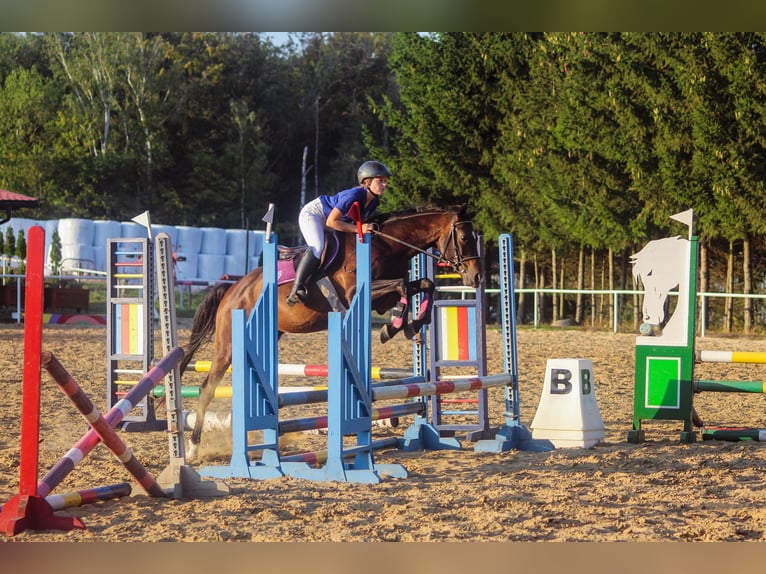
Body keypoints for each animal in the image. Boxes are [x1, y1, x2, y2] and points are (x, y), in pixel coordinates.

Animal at [178, 205, 486, 462]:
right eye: (463, 237)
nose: (477, 277)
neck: (387, 243)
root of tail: (232, 289)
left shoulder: (385, 295)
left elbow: (424, 284)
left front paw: (411, 325)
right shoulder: (357, 294)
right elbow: (401, 284)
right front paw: (394, 326)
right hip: (228, 345)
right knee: (207, 388)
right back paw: (193, 449)